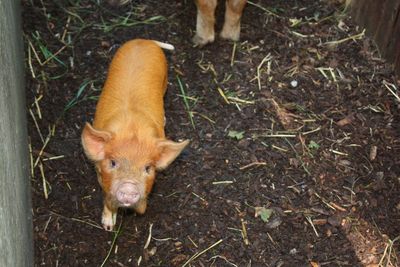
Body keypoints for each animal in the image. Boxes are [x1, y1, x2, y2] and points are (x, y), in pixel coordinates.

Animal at [81, 38, 189, 231]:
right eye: (113, 162)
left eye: (148, 168)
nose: (130, 187)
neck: (132, 128)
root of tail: (144, 40)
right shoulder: (100, 173)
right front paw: (108, 227)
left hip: (165, 80)